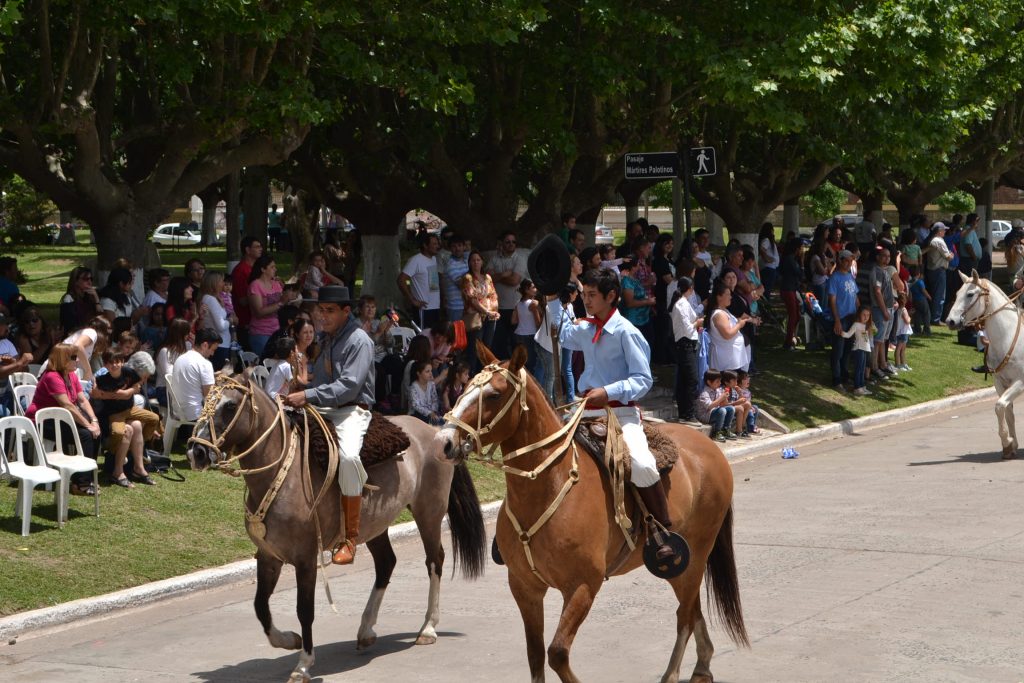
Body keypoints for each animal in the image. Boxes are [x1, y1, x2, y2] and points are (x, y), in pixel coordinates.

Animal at [188, 376, 487, 679]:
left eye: (230, 405)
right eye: (204, 400)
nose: (196, 451)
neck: (282, 474)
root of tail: (436, 432)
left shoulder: (306, 559)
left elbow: (304, 609)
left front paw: (303, 663)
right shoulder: (268, 556)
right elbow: (260, 606)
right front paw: (288, 640)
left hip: (429, 513)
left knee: (434, 561)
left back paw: (427, 628)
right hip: (375, 525)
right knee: (386, 563)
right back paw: (366, 629)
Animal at [436, 348, 749, 683]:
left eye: (494, 394)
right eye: (465, 388)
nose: (444, 442)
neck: (549, 485)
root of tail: (709, 447)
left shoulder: (583, 586)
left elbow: (557, 652)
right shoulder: (524, 586)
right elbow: (535, 654)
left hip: (693, 557)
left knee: (685, 616)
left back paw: (672, 673)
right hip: (685, 567)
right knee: (692, 610)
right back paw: (702, 665)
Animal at [942, 270, 1024, 456]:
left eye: (970, 294)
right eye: (957, 293)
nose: (951, 321)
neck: (1007, 336)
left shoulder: (1020, 381)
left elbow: (1000, 406)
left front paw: (1007, 441)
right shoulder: (1000, 382)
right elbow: (1007, 411)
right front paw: (1010, 444)